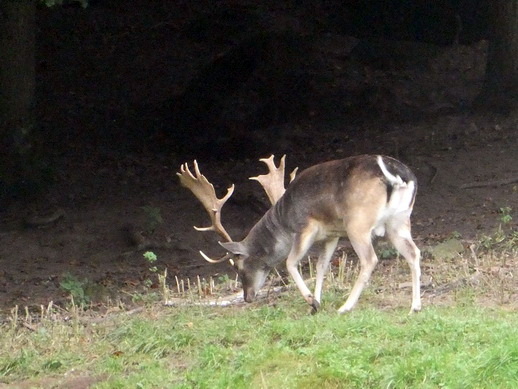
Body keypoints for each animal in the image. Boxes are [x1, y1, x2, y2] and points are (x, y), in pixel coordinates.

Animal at [179, 155, 422, 312]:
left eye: (238, 267)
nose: (247, 297)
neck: (284, 219)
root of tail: (398, 176)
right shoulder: (332, 234)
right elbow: (321, 266)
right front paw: (317, 302)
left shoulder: (306, 226)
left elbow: (290, 262)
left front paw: (311, 301)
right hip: (399, 220)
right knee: (414, 252)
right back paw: (415, 306)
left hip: (358, 223)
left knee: (370, 259)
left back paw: (345, 307)